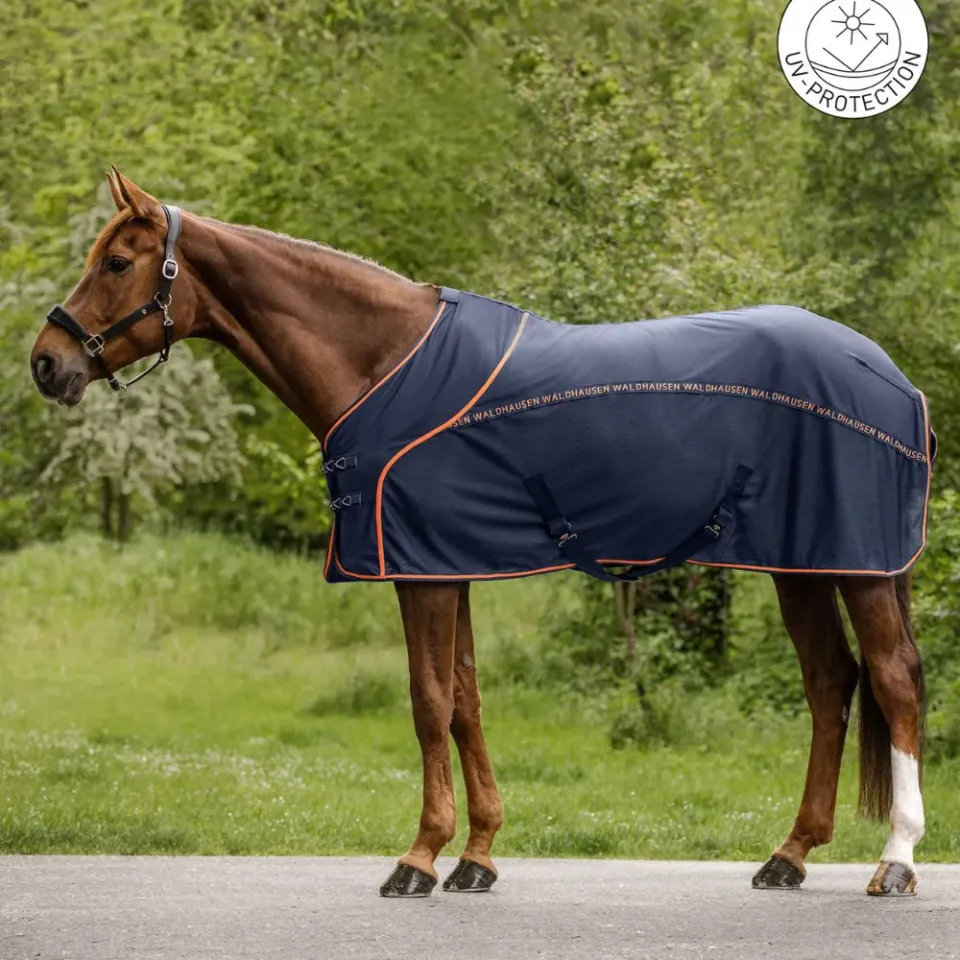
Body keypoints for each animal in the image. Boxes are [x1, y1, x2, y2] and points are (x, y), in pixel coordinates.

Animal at [30, 168, 928, 899]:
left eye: (118, 263)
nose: (45, 362)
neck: (384, 362)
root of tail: (890, 375)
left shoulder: (421, 572)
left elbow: (429, 703)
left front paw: (419, 857)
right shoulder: (447, 566)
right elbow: (464, 701)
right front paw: (478, 856)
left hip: (860, 567)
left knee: (892, 681)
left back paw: (896, 861)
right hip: (804, 565)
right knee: (831, 685)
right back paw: (790, 854)